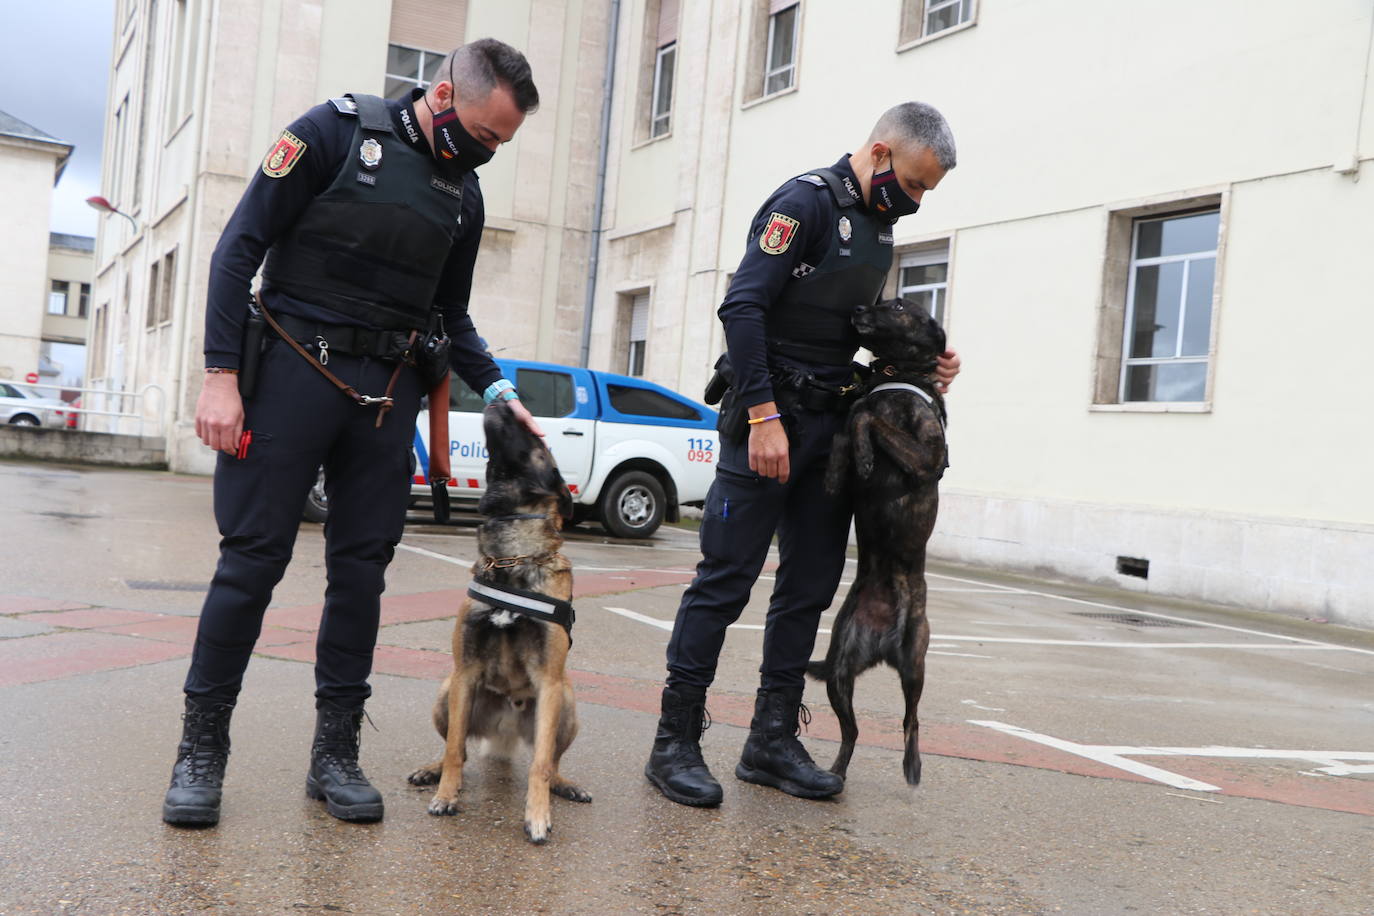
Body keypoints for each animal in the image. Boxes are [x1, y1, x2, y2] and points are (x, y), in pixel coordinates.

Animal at [401, 401, 588, 845]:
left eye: (538, 441)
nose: (503, 400)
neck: (511, 560)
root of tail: (506, 728)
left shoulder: (549, 683)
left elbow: (540, 764)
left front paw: (537, 816)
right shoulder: (465, 672)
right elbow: (455, 748)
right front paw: (446, 795)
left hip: (566, 702)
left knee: (553, 761)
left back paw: (564, 784)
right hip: (447, 692)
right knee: (459, 747)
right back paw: (432, 770)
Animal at [807, 298, 950, 785]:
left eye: (899, 305)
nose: (857, 307)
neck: (893, 373)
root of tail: (883, 646)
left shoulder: (928, 458)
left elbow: (866, 417)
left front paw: (868, 455)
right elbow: (846, 427)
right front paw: (839, 470)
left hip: (915, 663)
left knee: (912, 719)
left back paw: (912, 764)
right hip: (839, 672)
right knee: (852, 733)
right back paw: (833, 775)